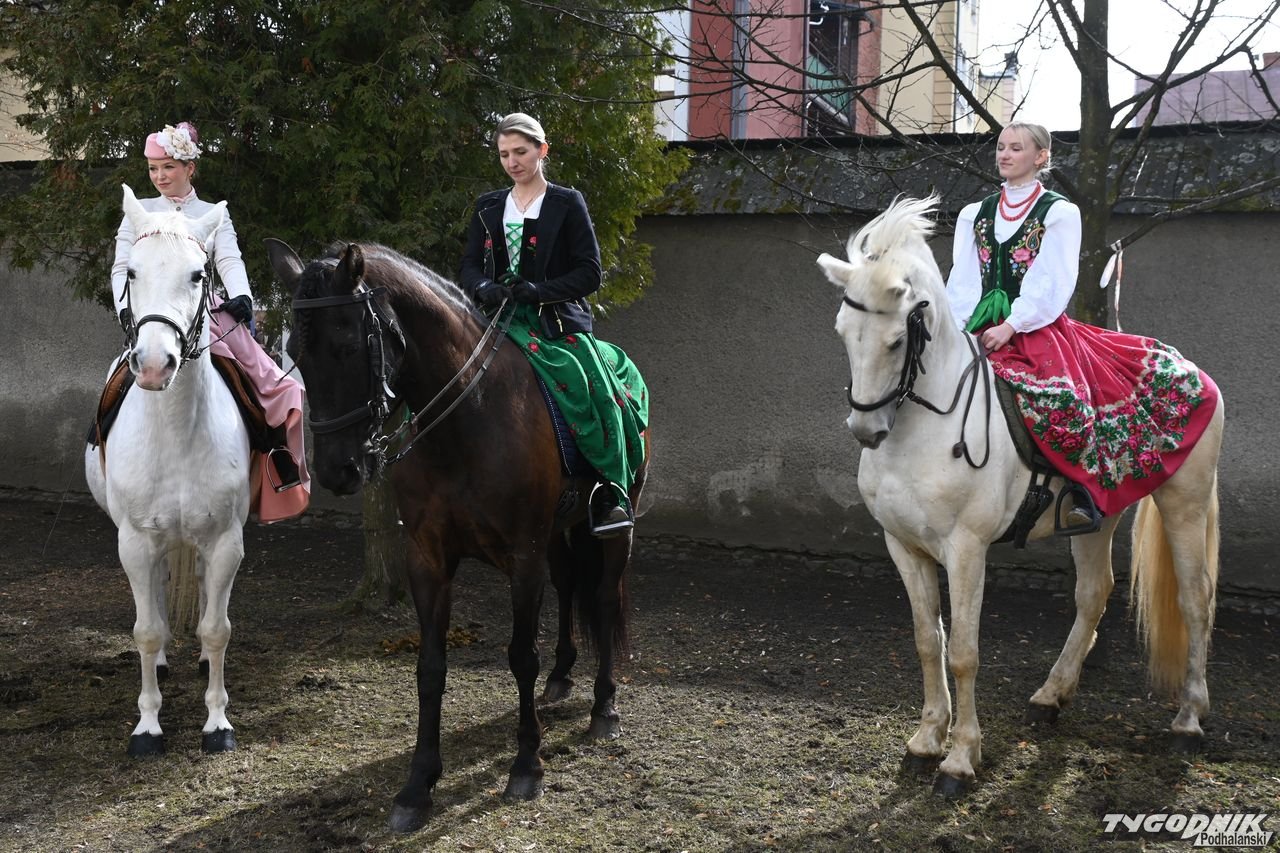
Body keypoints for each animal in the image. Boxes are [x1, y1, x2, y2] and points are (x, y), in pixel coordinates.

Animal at [84, 184, 249, 756]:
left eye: (199, 275)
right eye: (131, 272)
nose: (155, 365)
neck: (176, 432)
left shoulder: (225, 540)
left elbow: (217, 628)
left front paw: (217, 723)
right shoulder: (134, 540)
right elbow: (147, 630)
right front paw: (148, 727)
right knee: (154, 593)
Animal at [267, 239, 648, 833]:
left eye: (348, 344)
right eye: (294, 353)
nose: (336, 471)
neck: (469, 417)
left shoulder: (522, 556)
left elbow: (520, 656)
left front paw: (527, 765)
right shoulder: (428, 558)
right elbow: (430, 667)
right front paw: (417, 786)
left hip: (612, 528)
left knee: (605, 600)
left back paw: (604, 706)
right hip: (559, 534)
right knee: (569, 588)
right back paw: (562, 677)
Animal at [816, 196, 1224, 797]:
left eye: (896, 341)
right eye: (843, 332)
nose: (866, 431)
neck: (924, 429)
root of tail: (1188, 366)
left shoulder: (966, 550)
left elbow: (963, 652)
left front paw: (960, 760)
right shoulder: (903, 546)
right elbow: (926, 641)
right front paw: (925, 742)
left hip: (1185, 504)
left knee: (1196, 600)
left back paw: (1189, 722)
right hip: (1098, 518)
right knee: (1094, 593)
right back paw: (1051, 697)